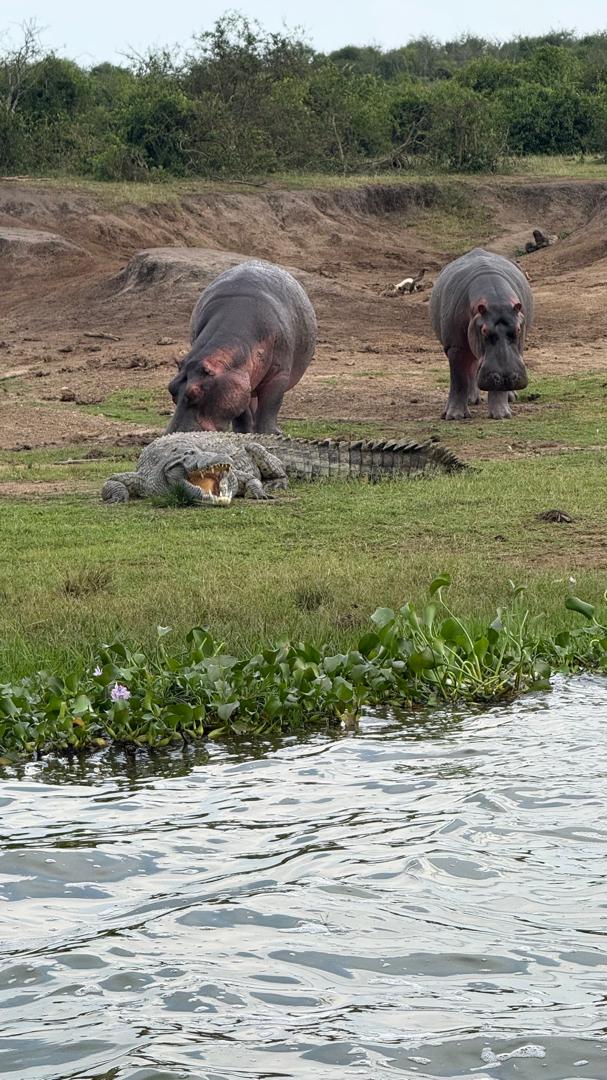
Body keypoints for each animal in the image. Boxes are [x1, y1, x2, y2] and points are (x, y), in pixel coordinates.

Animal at [166, 260, 317, 434]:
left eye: (195, 392)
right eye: (171, 388)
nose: (172, 434)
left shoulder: (278, 375)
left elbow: (270, 406)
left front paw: (270, 432)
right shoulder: (239, 380)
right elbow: (242, 412)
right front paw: (244, 432)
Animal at [430, 248, 533, 420]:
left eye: (518, 329)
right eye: (484, 330)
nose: (506, 378)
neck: (496, 301)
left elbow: (497, 388)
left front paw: (502, 415)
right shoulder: (455, 346)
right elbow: (458, 380)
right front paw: (454, 416)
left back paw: (510, 397)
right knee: (471, 369)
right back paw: (472, 400)